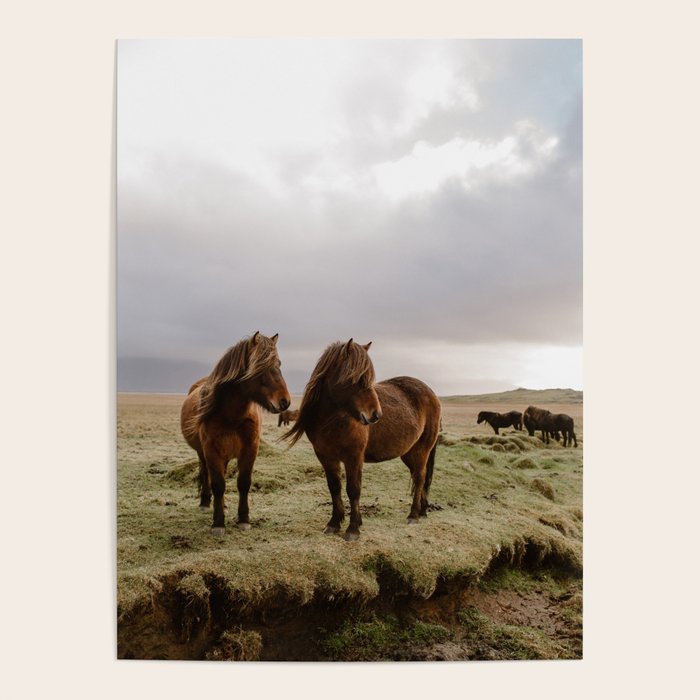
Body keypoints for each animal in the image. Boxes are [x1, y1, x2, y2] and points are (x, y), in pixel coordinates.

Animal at [180, 332, 291, 537]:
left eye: (278, 364)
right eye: (259, 366)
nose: (284, 401)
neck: (231, 415)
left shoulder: (250, 449)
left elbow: (243, 483)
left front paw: (244, 519)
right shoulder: (211, 451)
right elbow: (218, 484)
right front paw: (218, 523)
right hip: (203, 453)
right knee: (206, 474)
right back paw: (206, 503)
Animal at [283, 339, 442, 541]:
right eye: (356, 378)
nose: (376, 415)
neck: (332, 421)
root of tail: (432, 394)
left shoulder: (354, 458)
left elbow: (353, 489)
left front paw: (353, 528)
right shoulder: (326, 457)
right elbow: (334, 487)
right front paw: (334, 523)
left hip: (421, 451)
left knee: (420, 477)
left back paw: (413, 515)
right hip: (409, 453)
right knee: (417, 477)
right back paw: (422, 511)